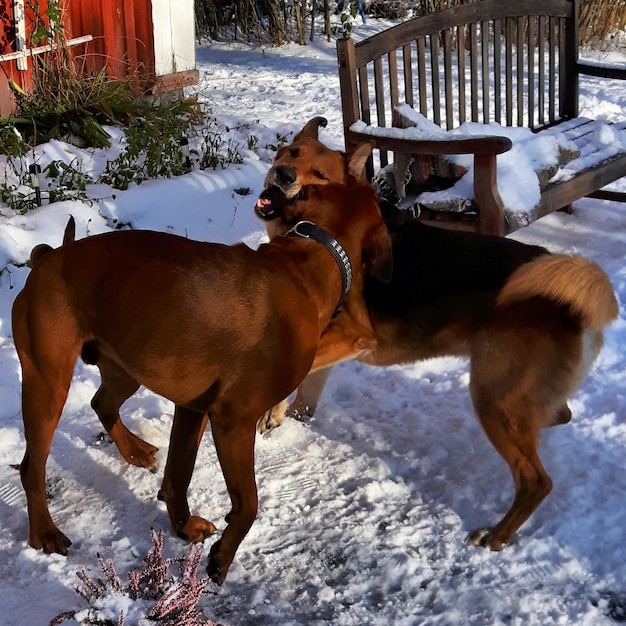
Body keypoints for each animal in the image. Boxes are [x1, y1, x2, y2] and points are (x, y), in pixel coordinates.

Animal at [11, 174, 390, 580]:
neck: (312, 257)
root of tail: (47, 258)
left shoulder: (193, 409)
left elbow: (178, 475)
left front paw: (183, 527)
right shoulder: (234, 419)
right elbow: (249, 502)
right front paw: (221, 558)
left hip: (126, 367)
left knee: (102, 403)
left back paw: (134, 451)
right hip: (48, 384)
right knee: (32, 467)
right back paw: (44, 533)